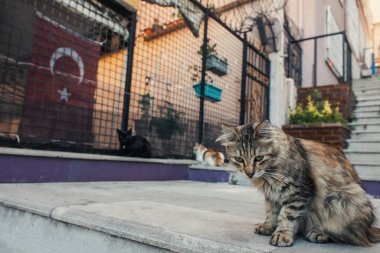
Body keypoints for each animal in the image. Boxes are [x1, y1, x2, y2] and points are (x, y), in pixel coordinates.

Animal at [217, 120, 380, 247]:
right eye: (239, 159)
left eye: (259, 158)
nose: (249, 173)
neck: (268, 175)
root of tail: (368, 229)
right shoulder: (272, 196)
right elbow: (271, 213)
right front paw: (268, 227)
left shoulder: (298, 192)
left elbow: (287, 216)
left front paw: (282, 235)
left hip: (343, 200)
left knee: (350, 237)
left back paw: (319, 234)